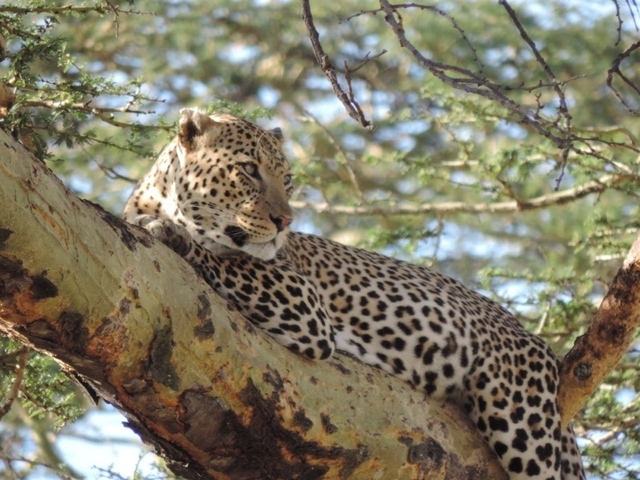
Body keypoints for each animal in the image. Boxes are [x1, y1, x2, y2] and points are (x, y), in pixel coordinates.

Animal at [123, 107, 586, 480]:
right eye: (249, 170)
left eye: (287, 180)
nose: (285, 221)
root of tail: (532, 339)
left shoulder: (303, 300)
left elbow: (226, 260)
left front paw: (172, 234)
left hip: (521, 417)